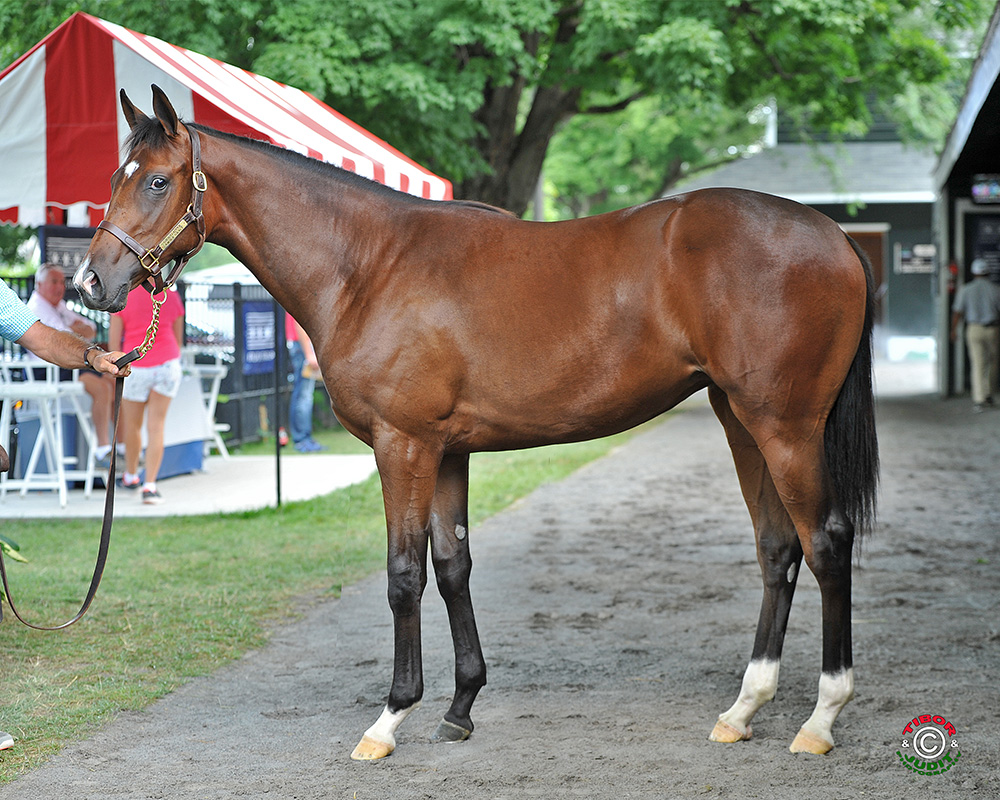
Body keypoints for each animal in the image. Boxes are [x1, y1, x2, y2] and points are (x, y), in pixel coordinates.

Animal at [76, 87, 876, 764]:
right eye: (116, 175)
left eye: (155, 181)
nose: (92, 284)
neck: (367, 266)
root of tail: (834, 235)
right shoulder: (447, 451)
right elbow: (452, 564)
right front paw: (459, 708)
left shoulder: (403, 447)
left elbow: (404, 574)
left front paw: (390, 718)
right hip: (740, 419)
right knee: (777, 548)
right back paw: (743, 709)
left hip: (784, 426)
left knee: (825, 542)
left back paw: (820, 718)